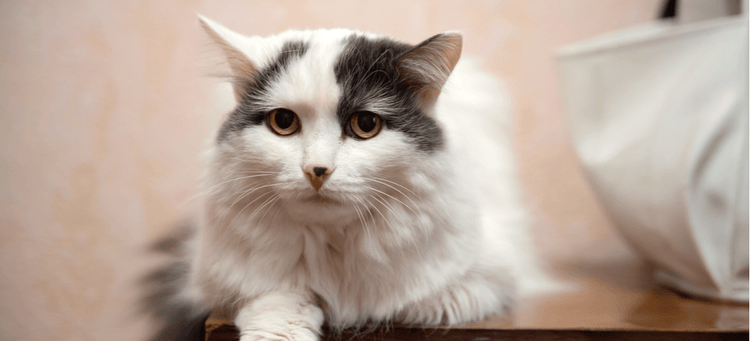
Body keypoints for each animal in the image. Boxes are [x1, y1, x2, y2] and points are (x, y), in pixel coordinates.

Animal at [144, 13, 548, 340]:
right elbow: (276, 303)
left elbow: (414, 301)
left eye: (365, 125)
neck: (333, 244)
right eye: (283, 122)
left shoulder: (485, 278)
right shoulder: (232, 275)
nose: (317, 170)